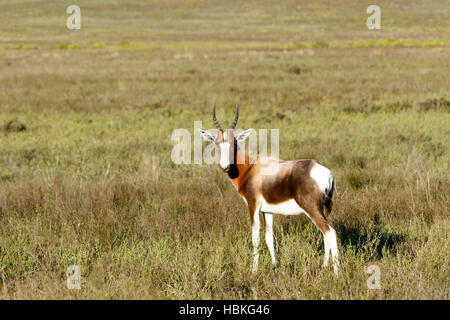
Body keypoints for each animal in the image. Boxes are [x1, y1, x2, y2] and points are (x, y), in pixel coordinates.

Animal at [199, 104, 340, 274]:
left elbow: (255, 238)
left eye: (233, 143)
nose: (225, 166)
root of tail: (325, 172)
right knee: (326, 234)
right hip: (324, 209)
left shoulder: (253, 205)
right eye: (217, 143)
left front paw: (253, 271)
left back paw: (336, 273)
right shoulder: (268, 210)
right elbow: (269, 237)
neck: (251, 167)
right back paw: (324, 267)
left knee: (330, 232)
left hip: (311, 208)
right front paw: (274, 266)